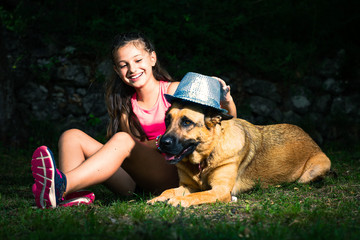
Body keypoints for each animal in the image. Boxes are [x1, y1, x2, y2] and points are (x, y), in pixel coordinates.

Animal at [147, 102, 332, 207]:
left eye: (186, 122)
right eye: (167, 120)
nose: (162, 143)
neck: (206, 158)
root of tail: (309, 137)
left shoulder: (220, 190)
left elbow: (199, 195)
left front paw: (180, 201)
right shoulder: (188, 186)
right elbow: (169, 191)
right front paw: (158, 198)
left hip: (313, 171)